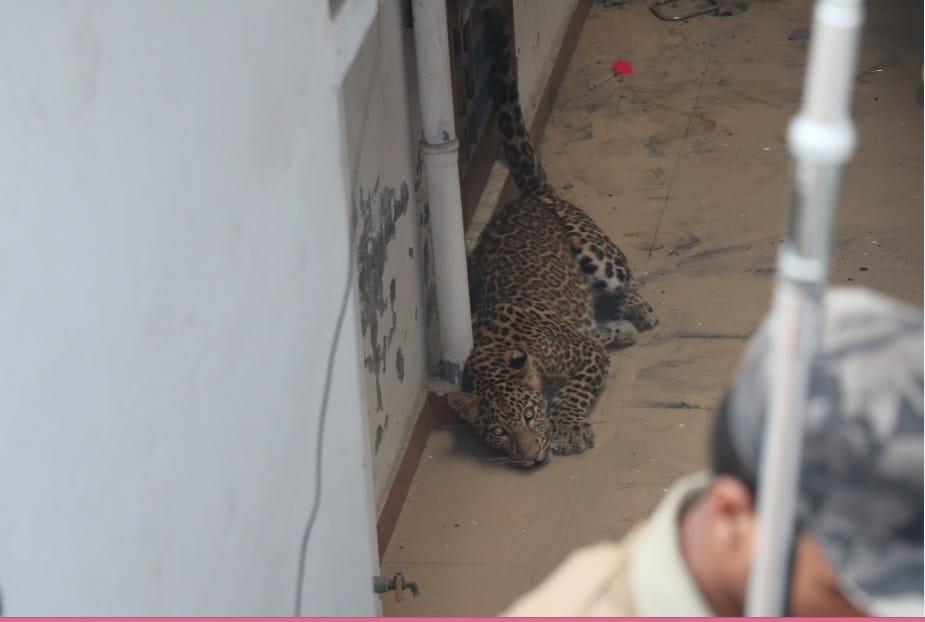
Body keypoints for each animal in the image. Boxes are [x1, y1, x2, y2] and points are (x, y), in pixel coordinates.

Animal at [447, 3, 658, 467]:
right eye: (498, 431)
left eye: (529, 415)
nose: (530, 459)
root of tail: (532, 195)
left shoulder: (584, 357)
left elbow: (575, 392)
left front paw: (566, 428)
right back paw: (619, 327)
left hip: (598, 253)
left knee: (626, 278)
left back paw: (637, 311)